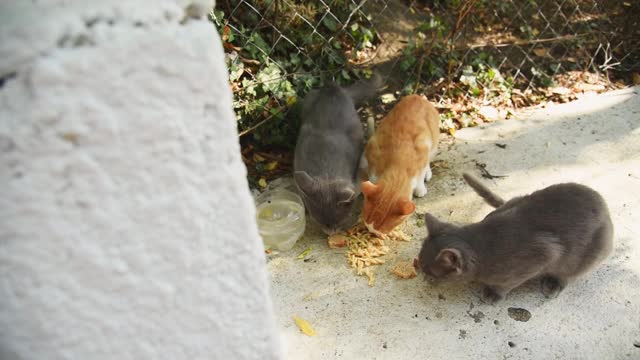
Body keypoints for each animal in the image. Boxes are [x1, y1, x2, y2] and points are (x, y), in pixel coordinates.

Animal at [360, 95, 440, 236]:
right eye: (367, 225)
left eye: (380, 231)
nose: (371, 233)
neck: (398, 161)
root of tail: (417, 96)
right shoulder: (373, 149)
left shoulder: (423, 150)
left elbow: (420, 174)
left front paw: (420, 188)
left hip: (433, 143)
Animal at [416, 172, 616, 304]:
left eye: (430, 272)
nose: (422, 277)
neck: (479, 242)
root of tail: (606, 209)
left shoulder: (542, 254)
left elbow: (507, 284)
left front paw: (493, 293)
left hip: (590, 253)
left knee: (570, 274)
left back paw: (553, 284)